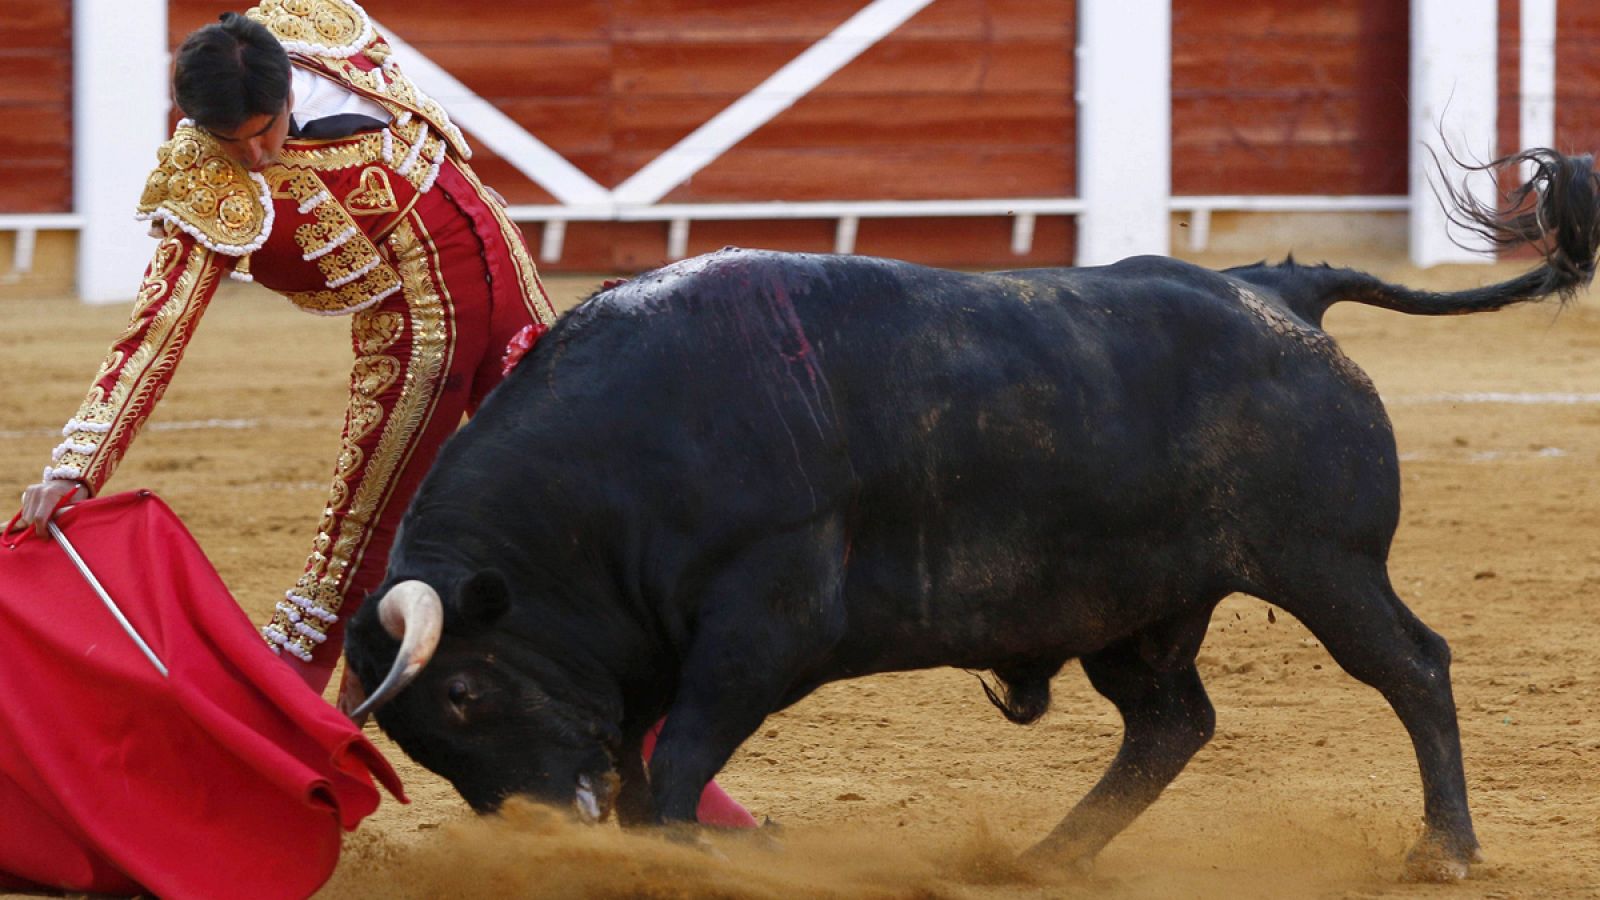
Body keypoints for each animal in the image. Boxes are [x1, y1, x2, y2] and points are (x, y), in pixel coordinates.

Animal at [344, 147, 1593, 877]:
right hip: (1138, 605)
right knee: (1170, 723)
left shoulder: (762, 622)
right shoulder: (648, 653)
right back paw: (1042, 858)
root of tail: (1276, 286)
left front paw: (693, 854)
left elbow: (682, 753)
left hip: (1324, 563)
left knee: (1412, 666)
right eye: (427, 735)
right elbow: (652, 760)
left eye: (465, 691)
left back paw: (1445, 849)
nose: (545, 832)